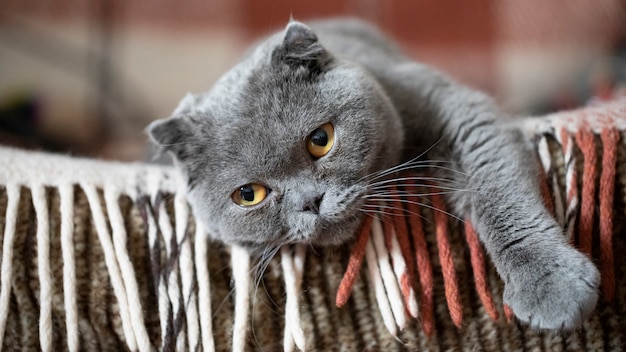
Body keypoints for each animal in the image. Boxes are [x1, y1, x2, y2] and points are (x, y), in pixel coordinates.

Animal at [147, 18, 600, 330]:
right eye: (249, 195)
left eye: (320, 139)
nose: (311, 201)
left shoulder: (460, 114)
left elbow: (498, 195)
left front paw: (552, 286)